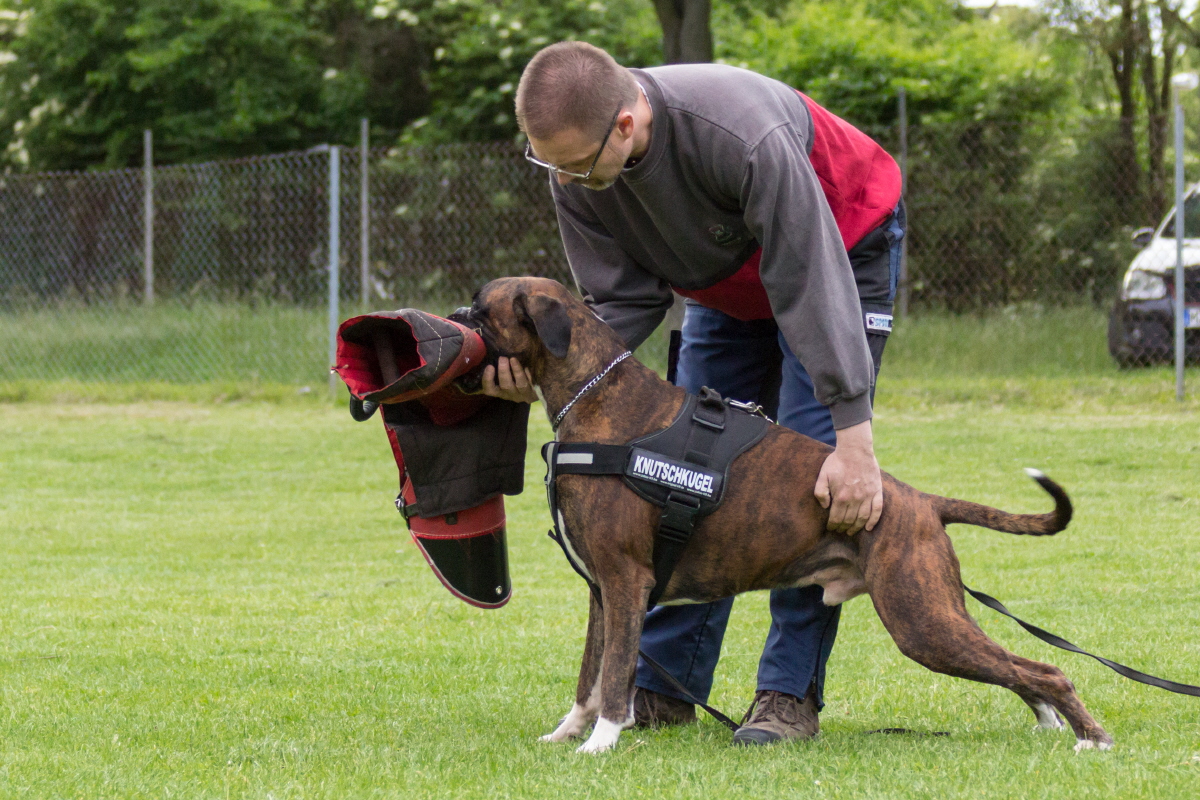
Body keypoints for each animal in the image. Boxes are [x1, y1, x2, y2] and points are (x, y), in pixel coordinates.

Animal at [453, 276, 1111, 755]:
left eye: (483, 313)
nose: (454, 318)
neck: (596, 396)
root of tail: (919, 500)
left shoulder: (624, 581)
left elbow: (614, 677)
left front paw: (602, 744)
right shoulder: (601, 593)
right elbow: (590, 675)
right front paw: (568, 734)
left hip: (922, 621)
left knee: (1045, 668)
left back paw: (1092, 740)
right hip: (934, 619)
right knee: (1019, 669)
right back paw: (1051, 724)